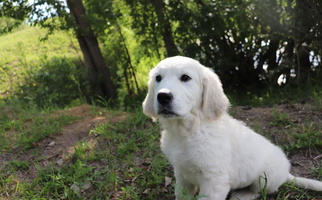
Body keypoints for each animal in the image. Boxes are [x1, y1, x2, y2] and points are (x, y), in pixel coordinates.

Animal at [143, 56, 322, 200]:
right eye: (158, 78)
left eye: (185, 77)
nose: (163, 96)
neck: (187, 130)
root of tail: (286, 174)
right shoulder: (181, 174)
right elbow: (181, 194)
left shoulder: (214, 180)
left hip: (264, 176)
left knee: (261, 190)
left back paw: (242, 195)